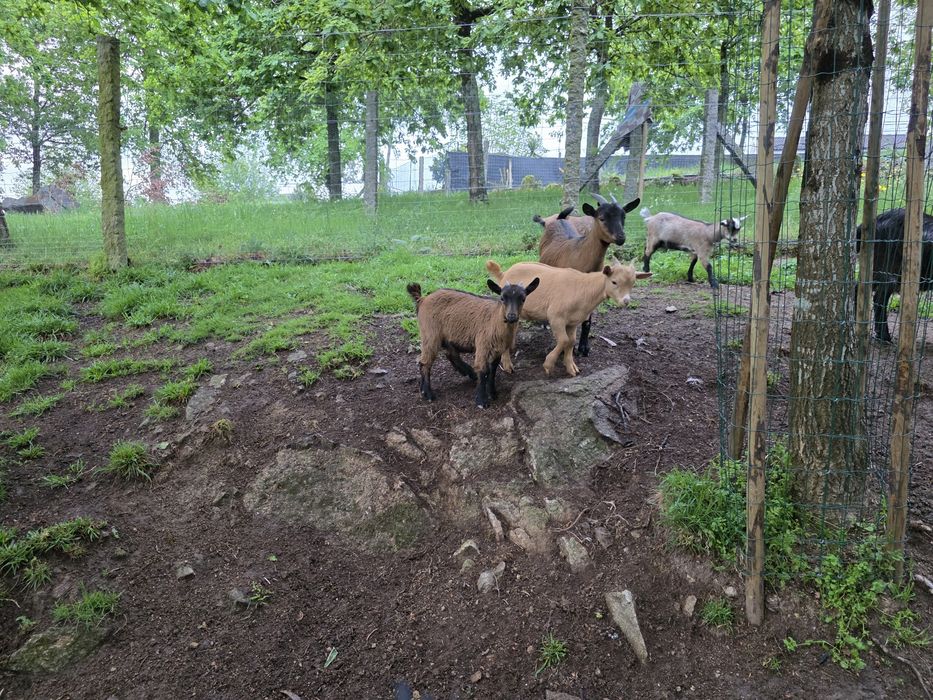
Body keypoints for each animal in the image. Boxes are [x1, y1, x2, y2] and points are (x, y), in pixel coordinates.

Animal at [407, 278, 539, 407]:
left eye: (523, 298)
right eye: (502, 298)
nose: (511, 316)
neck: (495, 320)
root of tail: (422, 299)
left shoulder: (498, 349)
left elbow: (493, 370)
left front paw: (492, 393)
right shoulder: (483, 344)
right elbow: (483, 369)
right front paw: (481, 400)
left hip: (445, 336)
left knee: (450, 355)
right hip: (430, 334)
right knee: (425, 362)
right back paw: (428, 393)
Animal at [487, 259, 650, 377]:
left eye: (633, 283)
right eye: (614, 282)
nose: (626, 301)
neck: (584, 289)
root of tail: (504, 274)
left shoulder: (573, 322)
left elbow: (571, 341)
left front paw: (571, 367)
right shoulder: (556, 317)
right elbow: (564, 340)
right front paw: (548, 365)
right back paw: (507, 364)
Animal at [534, 193, 641, 356]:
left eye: (623, 216)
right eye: (601, 218)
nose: (621, 237)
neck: (581, 254)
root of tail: (559, 219)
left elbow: (587, 321)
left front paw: (584, 348)